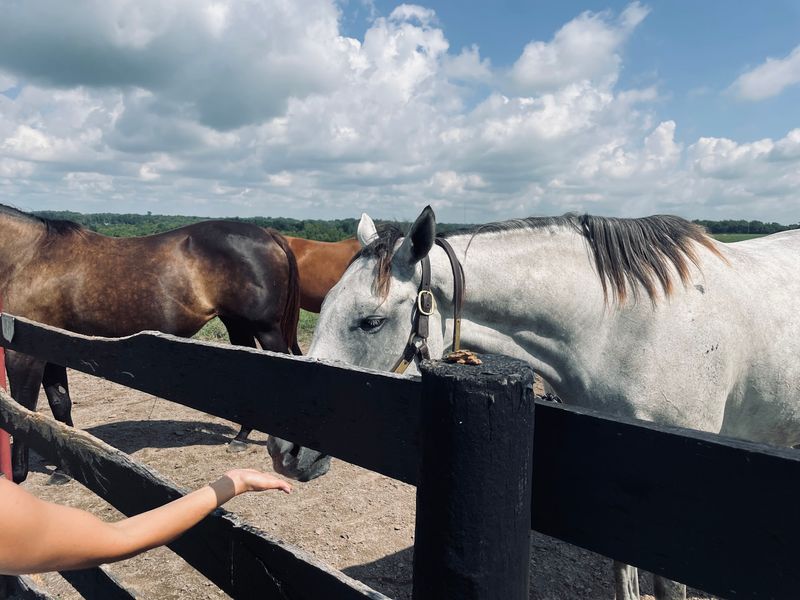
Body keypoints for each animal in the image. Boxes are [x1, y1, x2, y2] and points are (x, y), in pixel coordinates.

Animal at [0, 204, 301, 484]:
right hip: (237, 325)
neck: (29, 257)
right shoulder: (50, 349)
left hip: (266, 329)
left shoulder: (23, 354)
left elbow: (22, 408)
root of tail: (268, 234)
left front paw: (18, 475)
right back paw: (241, 436)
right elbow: (59, 403)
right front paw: (63, 469)